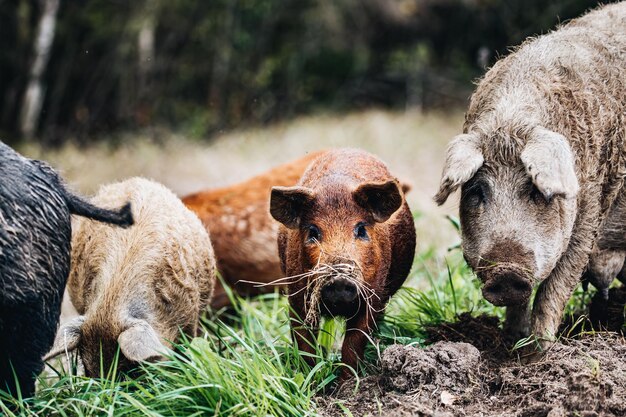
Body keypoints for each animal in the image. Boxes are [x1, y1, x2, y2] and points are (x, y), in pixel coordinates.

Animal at [268, 148, 414, 378]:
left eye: (361, 229)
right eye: (313, 231)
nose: (339, 279)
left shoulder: (373, 295)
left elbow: (353, 342)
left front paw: (348, 381)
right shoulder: (296, 296)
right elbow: (304, 342)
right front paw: (310, 377)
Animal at [434, 2, 624, 348]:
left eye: (536, 191)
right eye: (477, 191)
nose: (506, 271)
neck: (511, 121)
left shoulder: (588, 213)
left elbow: (555, 289)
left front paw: (538, 352)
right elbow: (520, 303)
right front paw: (511, 343)